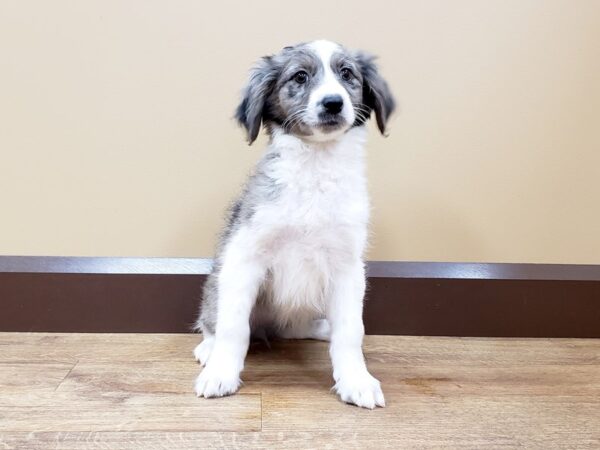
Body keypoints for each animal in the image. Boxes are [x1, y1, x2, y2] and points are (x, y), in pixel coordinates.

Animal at [195, 40, 396, 410]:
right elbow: (233, 328)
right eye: (300, 76)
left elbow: (351, 331)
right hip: (218, 285)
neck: (315, 167)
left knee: (292, 328)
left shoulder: (347, 266)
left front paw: (356, 380)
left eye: (347, 73)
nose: (333, 102)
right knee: (216, 320)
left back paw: (320, 328)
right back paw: (208, 347)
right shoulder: (245, 256)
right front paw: (221, 373)